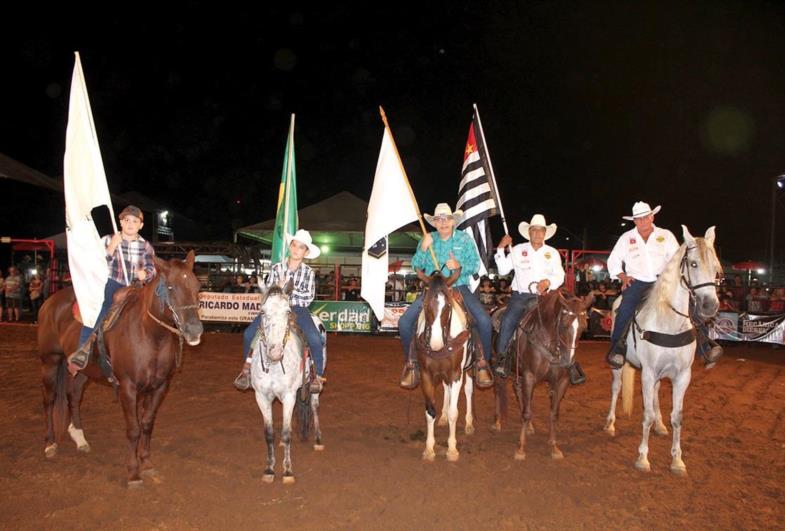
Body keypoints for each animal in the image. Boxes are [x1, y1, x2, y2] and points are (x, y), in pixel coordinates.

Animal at [251, 282, 324, 486]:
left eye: (287, 311)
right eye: (262, 311)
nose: (275, 352)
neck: (274, 365)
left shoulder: (289, 395)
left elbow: (286, 432)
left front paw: (287, 470)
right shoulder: (261, 397)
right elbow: (269, 433)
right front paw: (269, 469)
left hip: (314, 387)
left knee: (314, 406)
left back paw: (317, 439)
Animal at [494, 288, 592, 460]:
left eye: (584, 328)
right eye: (564, 325)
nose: (568, 362)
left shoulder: (561, 381)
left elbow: (553, 413)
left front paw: (554, 447)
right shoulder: (529, 376)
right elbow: (527, 412)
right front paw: (521, 449)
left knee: (517, 390)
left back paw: (529, 427)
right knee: (499, 390)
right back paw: (498, 422)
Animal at [604, 227, 720, 476]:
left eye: (716, 267)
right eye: (693, 264)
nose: (710, 306)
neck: (669, 322)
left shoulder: (682, 376)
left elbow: (677, 417)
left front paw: (677, 460)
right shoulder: (648, 373)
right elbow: (645, 415)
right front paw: (642, 458)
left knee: (656, 394)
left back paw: (660, 425)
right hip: (619, 365)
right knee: (616, 388)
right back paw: (610, 424)